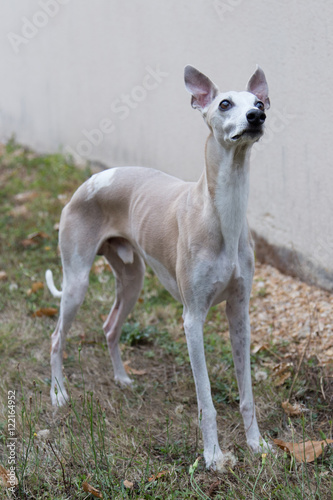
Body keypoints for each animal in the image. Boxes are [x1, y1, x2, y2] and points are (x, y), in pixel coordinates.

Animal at [46, 65, 270, 468]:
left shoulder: (239, 314)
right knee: (57, 337)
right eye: (224, 103)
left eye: (260, 103)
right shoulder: (192, 320)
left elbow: (247, 394)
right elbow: (206, 400)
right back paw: (58, 394)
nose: (255, 117)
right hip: (76, 283)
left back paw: (122, 379)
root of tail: (90, 180)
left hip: (132, 280)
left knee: (109, 326)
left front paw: (256, 445)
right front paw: (213, 456)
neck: (220, 213)